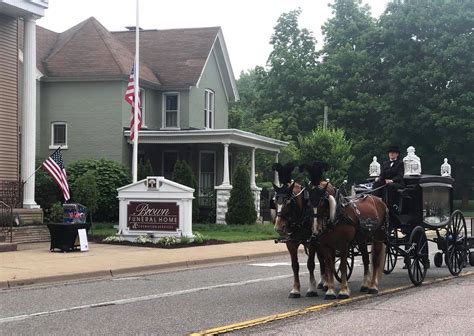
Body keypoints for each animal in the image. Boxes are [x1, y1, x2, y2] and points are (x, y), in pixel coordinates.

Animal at [270, 164, 326, 298]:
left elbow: (310, 264)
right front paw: (295, 289)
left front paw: (311, 289)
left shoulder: (311, 242)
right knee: (322, 259)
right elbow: (295, 266)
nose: (278, 227)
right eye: (275, 201)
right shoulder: (291, 243)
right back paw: (323, 282)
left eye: (288, 202)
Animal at [302, 161, 386, 298]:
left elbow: (342, 266)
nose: (315, 229)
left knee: (375, 260)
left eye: (322, 202)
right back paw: (365, 285)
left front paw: (344, 290)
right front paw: (330, 291)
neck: (336, 216)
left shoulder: (344, 244)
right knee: (366, 260)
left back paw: (373, 287)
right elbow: (329, 266)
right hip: (362, 240)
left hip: (378, 236)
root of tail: (379, 200)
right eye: (308, 203)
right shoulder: (326, 245)